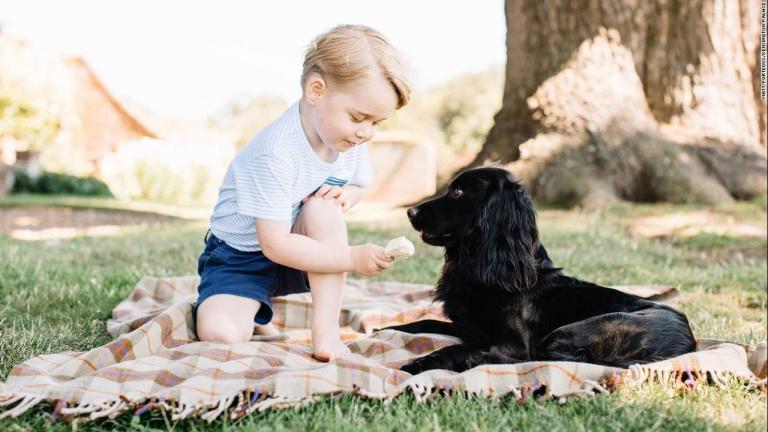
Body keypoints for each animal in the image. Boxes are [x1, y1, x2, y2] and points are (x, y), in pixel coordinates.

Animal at [384, 167, 696, 376]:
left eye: (458, 191)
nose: (410, 212)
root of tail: (687, 344)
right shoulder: (468, 328)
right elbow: (422, 322)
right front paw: (383, 330)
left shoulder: (513, 343)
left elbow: (459, 348)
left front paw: (419, 363)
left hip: (569, 332)